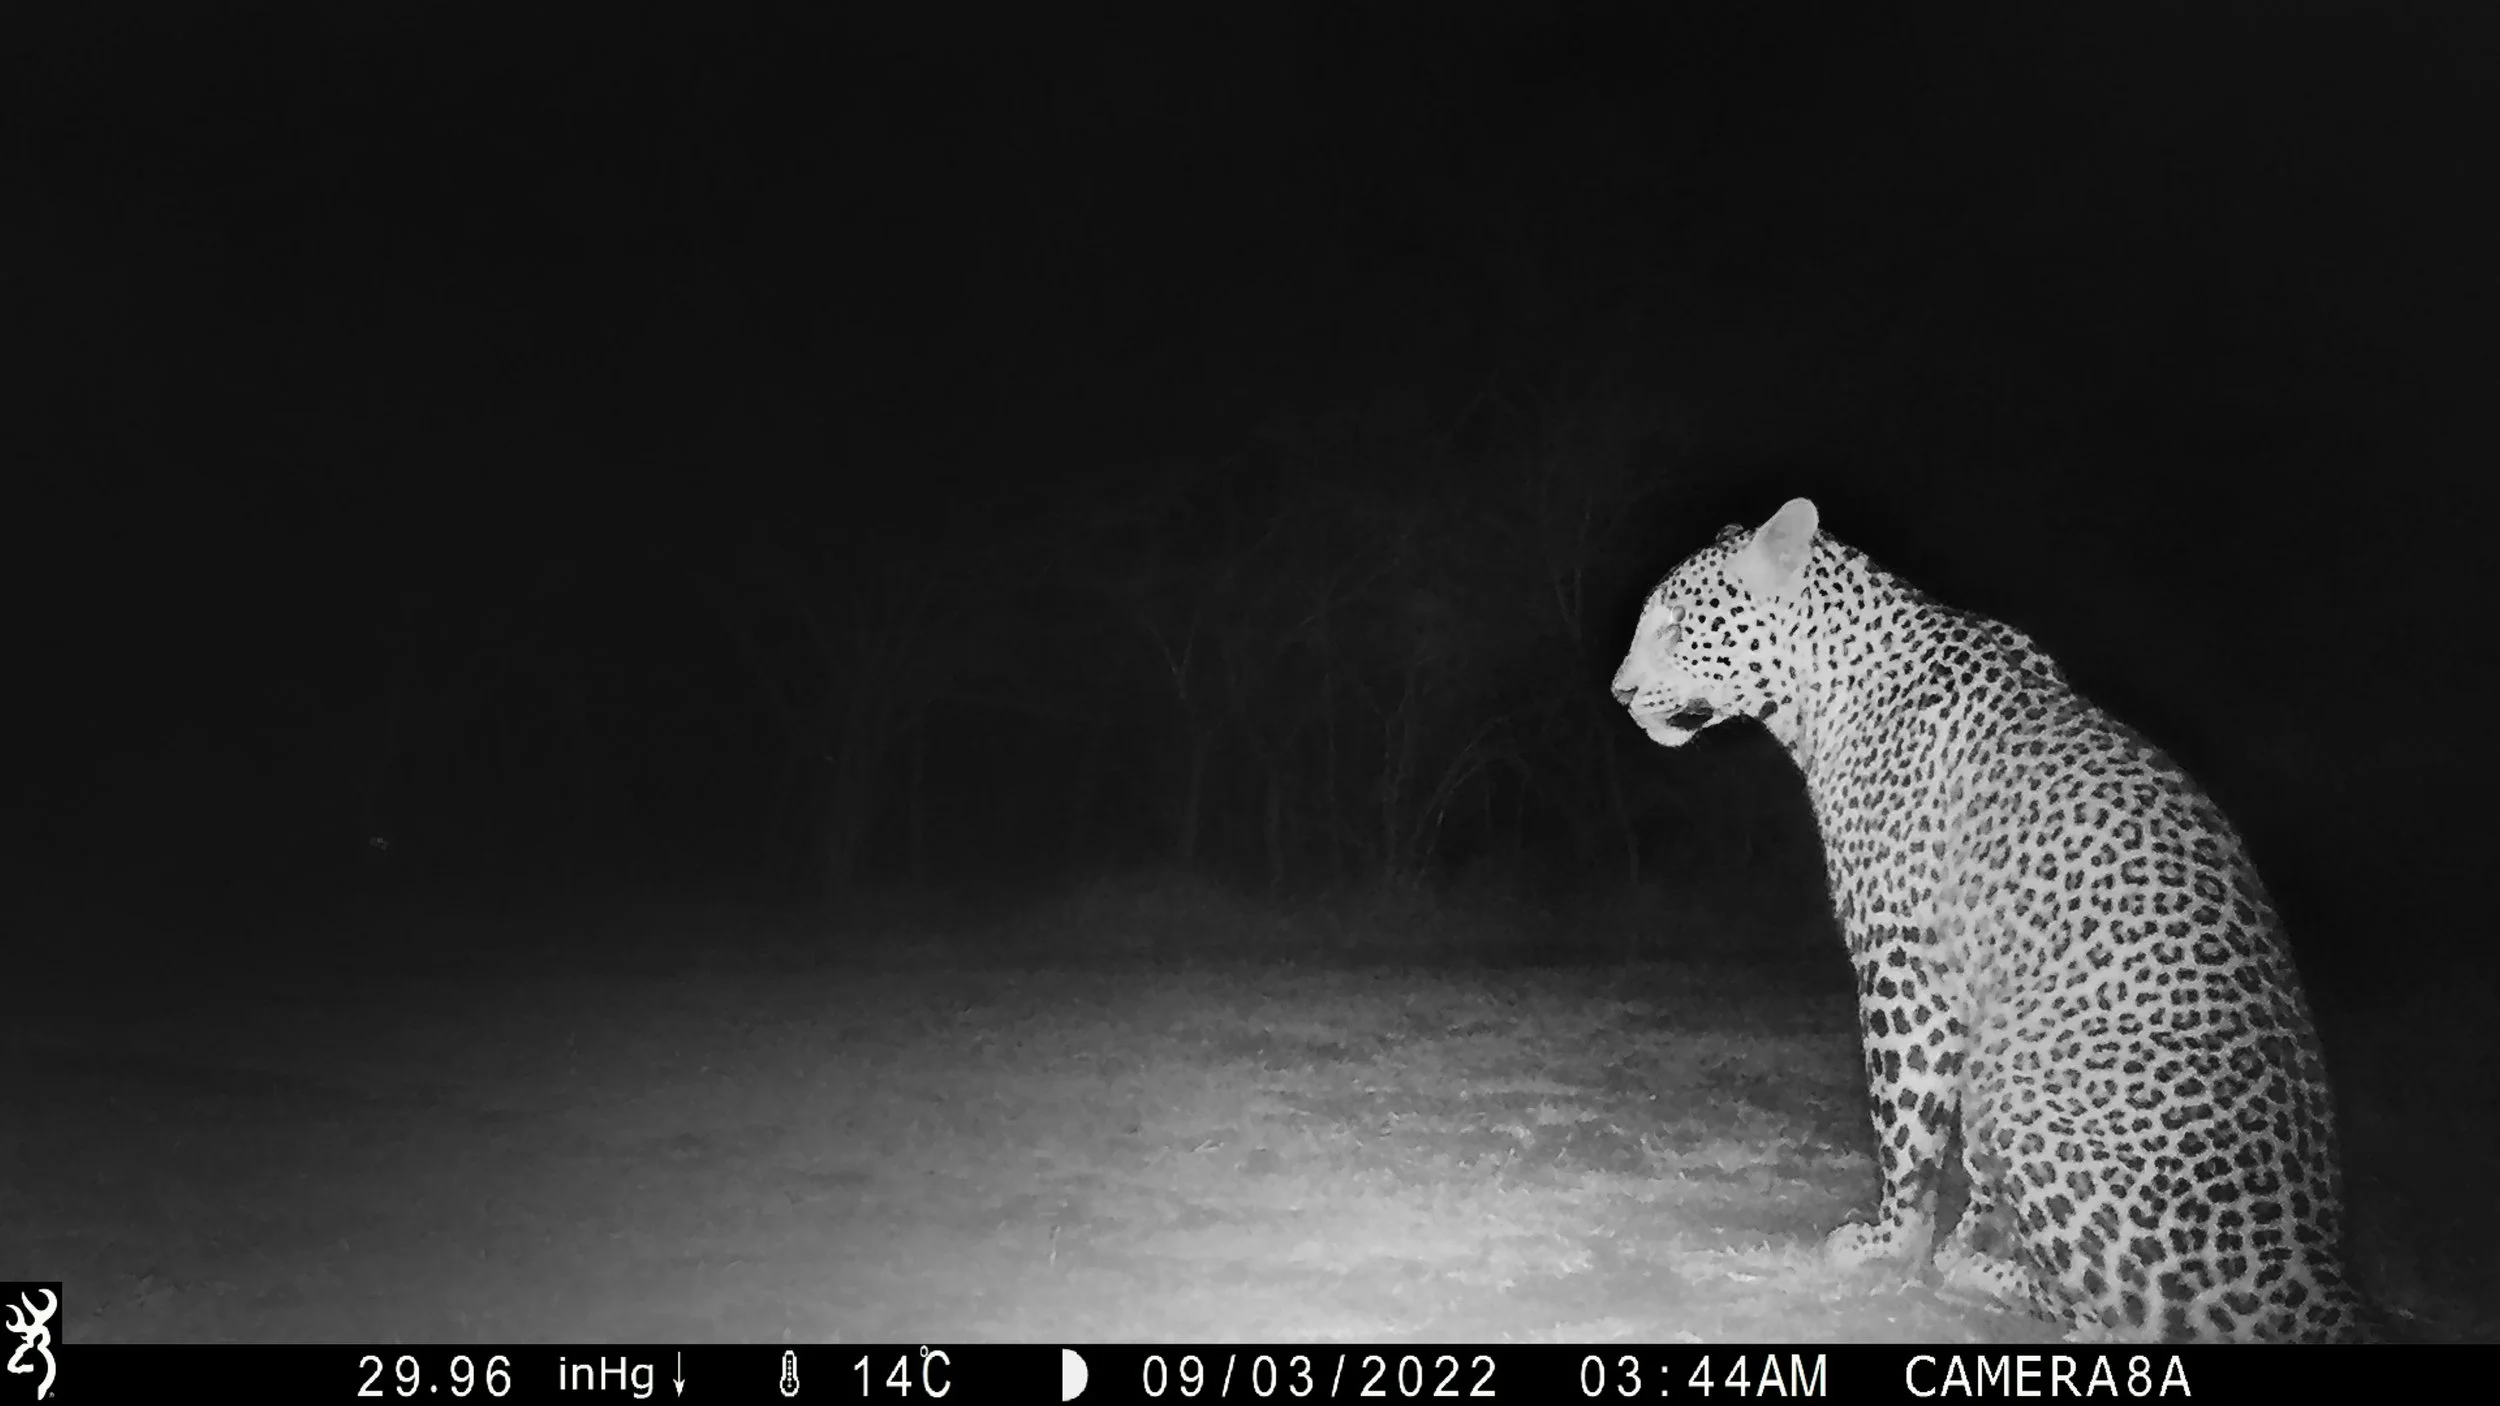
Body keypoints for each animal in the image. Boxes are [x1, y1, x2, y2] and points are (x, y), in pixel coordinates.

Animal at [1609, 497, 2366, 1342]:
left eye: (1677, 624)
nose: (1619, 692)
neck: (1824, 691)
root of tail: (2313, 1272)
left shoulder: (1904, 959)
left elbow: (1905, 1121)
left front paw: (1893, 1243)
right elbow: (1965, 1161)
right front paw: (1969, 1232)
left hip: (2016, 1073)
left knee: (2128, 1316)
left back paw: (1990, 1275)